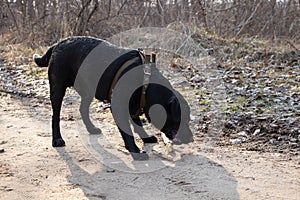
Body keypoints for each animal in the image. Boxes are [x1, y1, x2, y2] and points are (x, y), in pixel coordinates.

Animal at [34, 36, 193, 160]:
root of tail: (58, 44)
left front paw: (146, 138)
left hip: (88, 90)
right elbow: (127, 132)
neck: (145, 83)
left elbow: (137, 125)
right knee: (55, 115)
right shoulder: (118, 106)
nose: (191, 138)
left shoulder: (134, 105)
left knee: (82, 109)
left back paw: (91, 128)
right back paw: (57, 139)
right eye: (181, 119)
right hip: (58, 88)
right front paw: (135, 151)